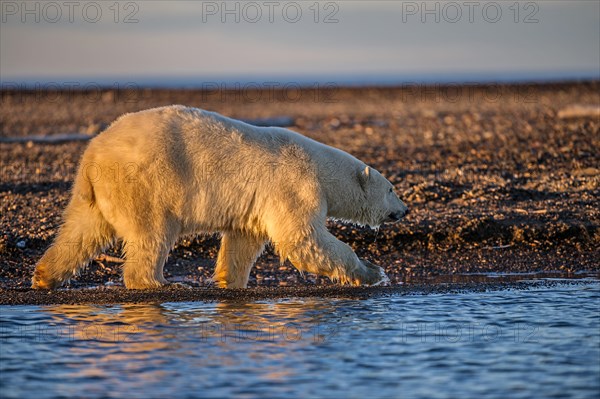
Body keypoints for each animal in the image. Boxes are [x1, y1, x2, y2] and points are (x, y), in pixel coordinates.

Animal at [31, 104, 408, 290]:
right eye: (391, 189)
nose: (403, 210)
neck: (321, 168)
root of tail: (93, 154)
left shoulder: (257, 203)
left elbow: (244, 239)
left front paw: (232, 282)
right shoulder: (295, 185)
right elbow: (302, 240)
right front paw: (373, 271)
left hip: (99, 192)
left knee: (81, 231)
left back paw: (45, 275)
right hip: (144, 183)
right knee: (151, 233)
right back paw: (158, 284)